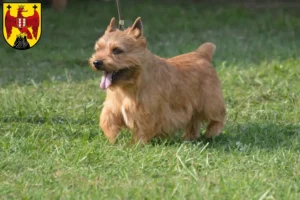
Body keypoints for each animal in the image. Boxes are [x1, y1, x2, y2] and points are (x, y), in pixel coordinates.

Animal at [89, 17, 225, 145]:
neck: (127, 86)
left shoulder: (144, 113)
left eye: (117, 50)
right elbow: (108, 122)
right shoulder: (112, 109)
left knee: (219, 116)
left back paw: (211, 133)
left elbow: (141, 131)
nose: (96, 62)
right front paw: (114, 142)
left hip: (210, 102)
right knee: (194, 122)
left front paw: (133, 146)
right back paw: (189, 138)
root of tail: (201, 54)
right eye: (98, 49)